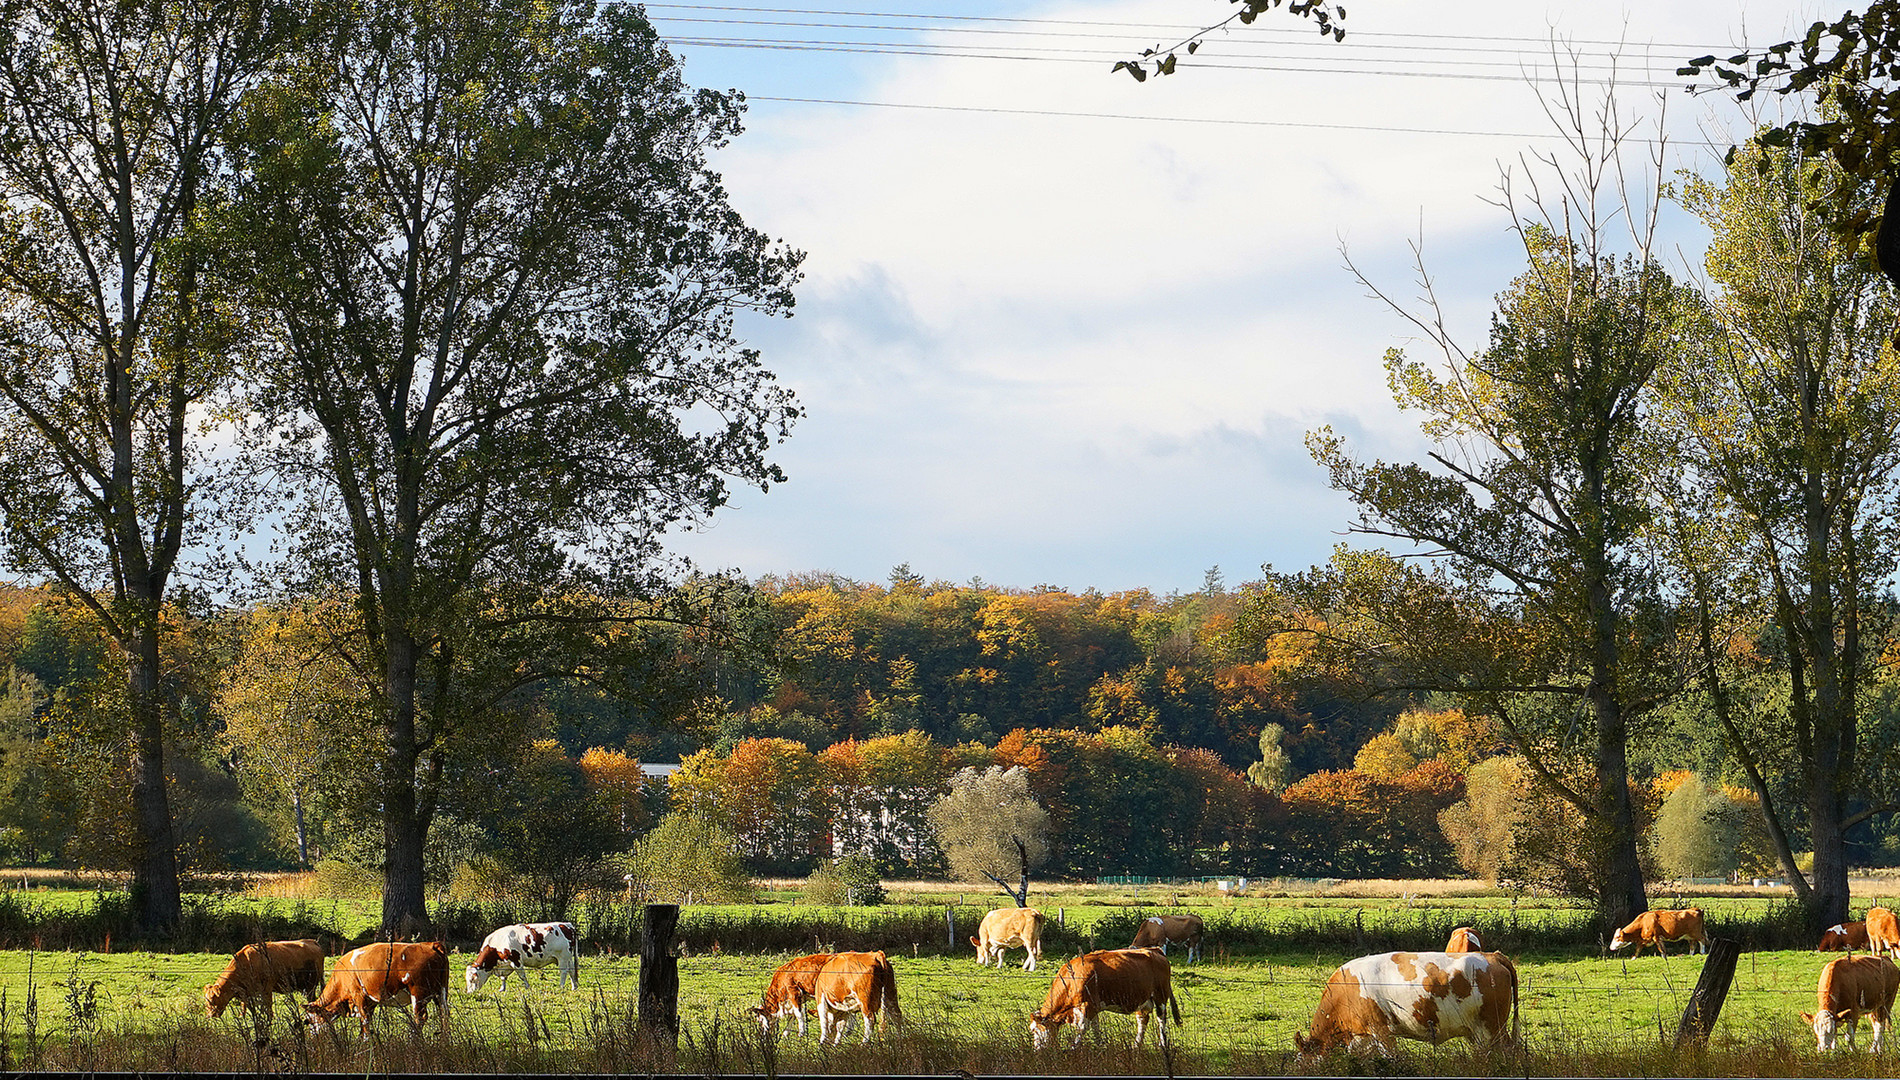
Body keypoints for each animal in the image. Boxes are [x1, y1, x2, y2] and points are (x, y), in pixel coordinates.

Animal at [304, 939, 452, 1034]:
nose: (313, 1035)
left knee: (420, 1018)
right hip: (441, 992)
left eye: (310, 1020)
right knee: (444, 1015)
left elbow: (365, 1025)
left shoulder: (359, 997)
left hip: (418, 993)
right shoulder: (371, 1002)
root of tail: (431, 945)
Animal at [1033, 950, 1178, 1049]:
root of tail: (1155, 950)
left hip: (1160, 996)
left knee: (1161, 1019)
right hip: (1142, 1000)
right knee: (1142, 1021)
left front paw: (1073, 1048)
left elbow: (1083, 1028)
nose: (1037, 1051)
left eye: (1035, 1030)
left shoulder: (1088, 1005)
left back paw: (1163, 1044)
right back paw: (1136, 1046)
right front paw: (1100, 1046)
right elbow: (1095, 1027)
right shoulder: (1093, 1007)